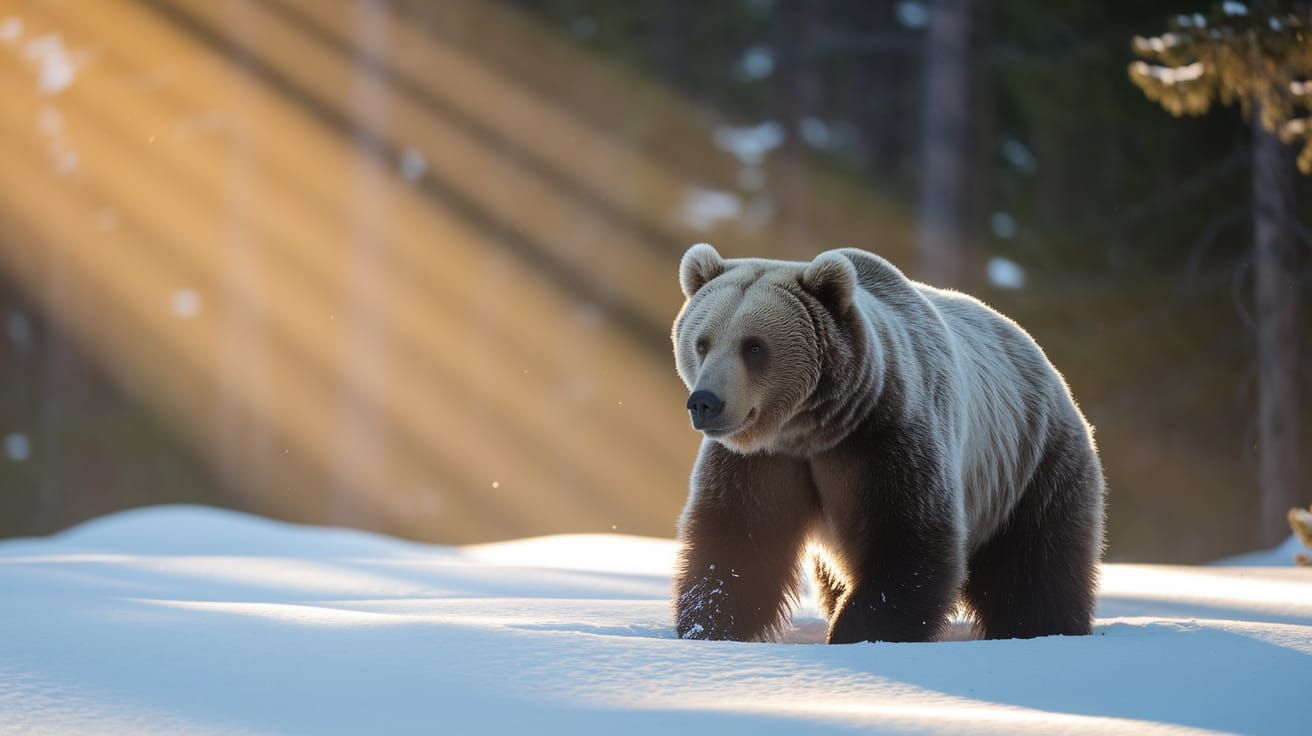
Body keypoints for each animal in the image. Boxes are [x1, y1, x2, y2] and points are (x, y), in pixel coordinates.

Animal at [670, 243, 1105, 644]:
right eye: (702, 343)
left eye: (754, 346)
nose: (705, 402)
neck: (812, 429)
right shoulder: (762, 462)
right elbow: (737, 541)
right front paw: (707, 626)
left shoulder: (887, 438)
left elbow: (907, 542)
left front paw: (859, 632)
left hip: (1030, 465)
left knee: (1036, 567)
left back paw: (1043, 627)